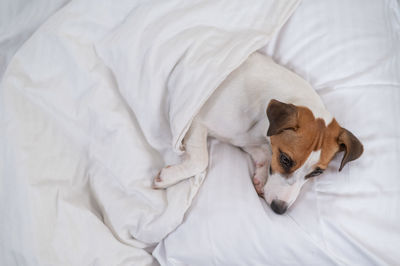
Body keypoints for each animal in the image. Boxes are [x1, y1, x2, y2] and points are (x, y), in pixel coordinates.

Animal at [152, 51, 362, 214]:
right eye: (285, 159)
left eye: (317, 172)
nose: (279, 209)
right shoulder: (196, 119)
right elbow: (201, 160)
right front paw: (169, 177)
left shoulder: (246, 139)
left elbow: (263, 153)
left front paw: (261, 175)